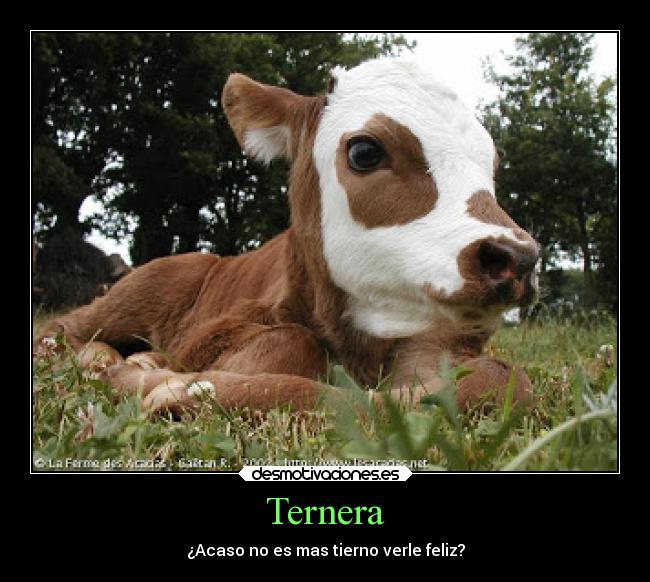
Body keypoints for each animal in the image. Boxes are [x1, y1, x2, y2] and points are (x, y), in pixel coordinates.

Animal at [33, 58, 539, 415]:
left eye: (491, 165)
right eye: (365, 151)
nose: (517, 257)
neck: (355, 347)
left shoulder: (437, 342)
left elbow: (505, 380)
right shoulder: (218, 330)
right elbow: (292, 341)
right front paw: (177, 387)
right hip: (137, 292)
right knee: (60, 331)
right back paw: (103, 358)